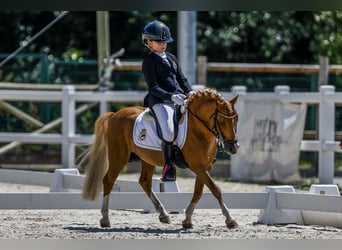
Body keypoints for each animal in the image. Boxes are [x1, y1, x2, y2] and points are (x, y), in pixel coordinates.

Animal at [81, 88, 239, 229]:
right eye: (222, 121)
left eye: (236, 120)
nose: (233, 147)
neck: (198, 129)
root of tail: (115, 114)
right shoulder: (197, 166)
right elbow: (215, 189)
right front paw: (230, 220)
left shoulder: (205, 166)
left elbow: (199, 192)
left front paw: (187, 220)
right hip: (118, 156)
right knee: (108, 180)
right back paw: (105, 219)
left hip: (146, 158)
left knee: (144, 182)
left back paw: (163, 215)